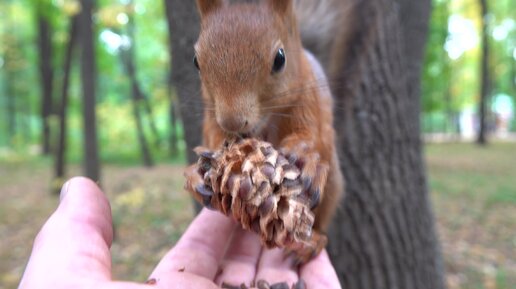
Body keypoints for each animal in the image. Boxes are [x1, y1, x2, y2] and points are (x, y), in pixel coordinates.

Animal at [192, 0, 342, 260]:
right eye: (196, 61)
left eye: (280, 59)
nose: (232, 122)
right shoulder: (211, 115)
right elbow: (213, 135)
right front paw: (208, 162)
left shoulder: (310, 101)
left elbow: (314, 134)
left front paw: (304, 155)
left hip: (332, 185)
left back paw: (312, 242)